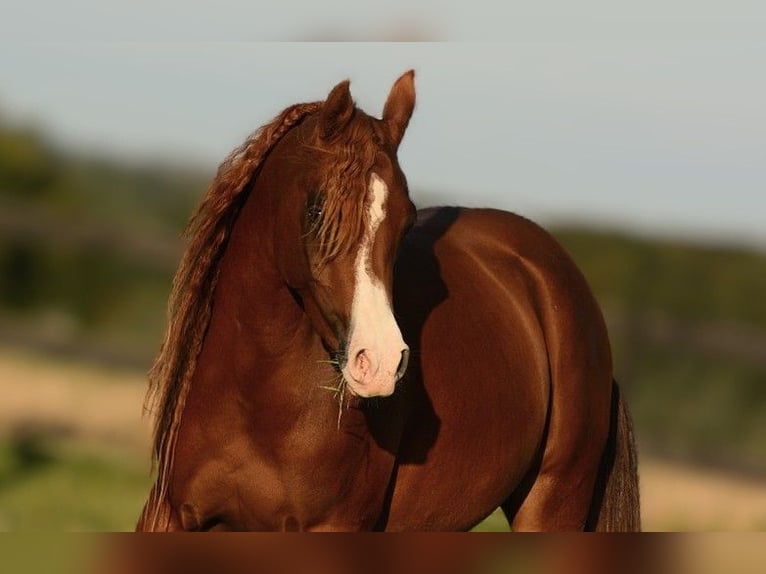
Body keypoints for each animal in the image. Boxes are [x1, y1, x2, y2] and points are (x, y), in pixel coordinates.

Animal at [136, 72, 640, 536]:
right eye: (316, 209)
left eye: (407, 218)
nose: (378, 363)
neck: (254, 398)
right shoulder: (170, 516)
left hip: (551, 505)